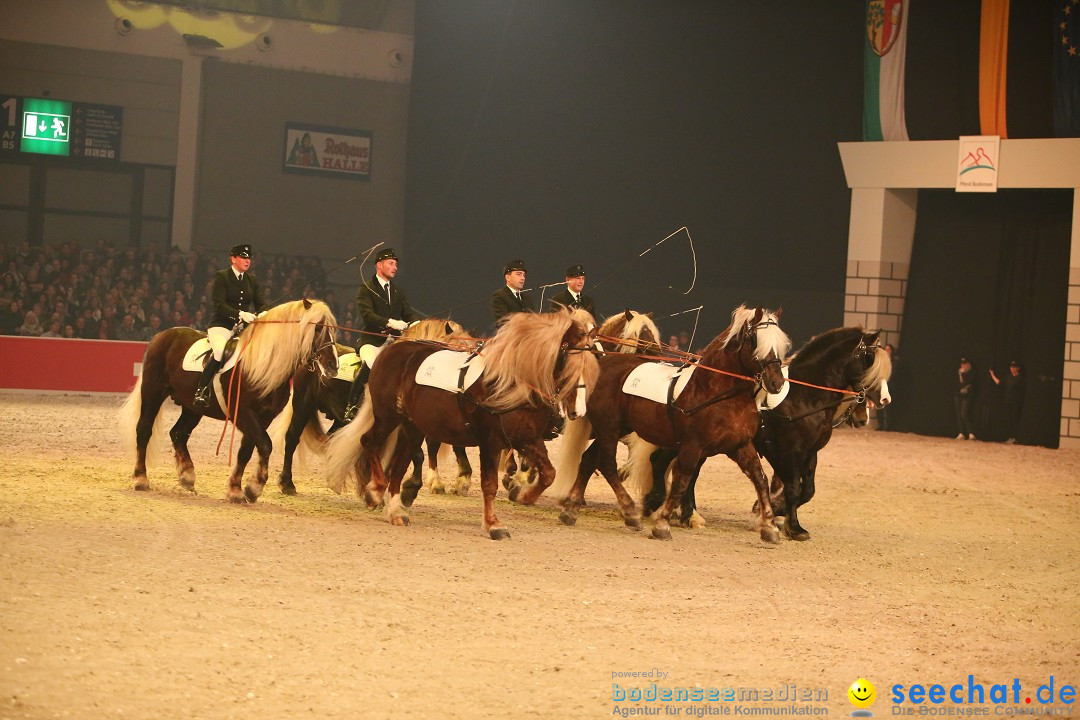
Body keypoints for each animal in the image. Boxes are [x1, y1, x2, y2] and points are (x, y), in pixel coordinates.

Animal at [118, 297, 339, 500]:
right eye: (318, 328)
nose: (333, 365)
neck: (262, 365)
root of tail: (162, 335)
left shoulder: (263, 417)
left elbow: (247, 450)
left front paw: (236, 489)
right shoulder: (243, 413)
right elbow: (265, 444)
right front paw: (254, 487)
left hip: (193, 407)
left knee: (178, 433)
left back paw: (187, 476)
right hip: (153, 393)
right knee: (144, 430)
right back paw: (141, 479)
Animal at [270, 317, 477, 498]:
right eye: (459, 352)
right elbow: (419, 453)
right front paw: (416, 485)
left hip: (338, 418)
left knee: (332, 439)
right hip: (303, 404)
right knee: (292, 438)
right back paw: (287, 483)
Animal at [324, 310, 604, 539]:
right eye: (568, 359)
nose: (578, 411)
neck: (512, 383)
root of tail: (393, 350)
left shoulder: (528, 438)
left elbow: (548, 474)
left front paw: (522, 494)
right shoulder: (491, 441)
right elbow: (489, 484)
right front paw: (493, 524)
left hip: (411, 427)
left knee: (401, 461)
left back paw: (395, 509)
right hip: (387, 416)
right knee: (369, 442)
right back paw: (375, 491)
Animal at [552, 306, 790, 544]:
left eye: (780, 344)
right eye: (755, 340)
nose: (776, 382)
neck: (716, 392)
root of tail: (603, 364)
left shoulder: (740, 446)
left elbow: (760, 479)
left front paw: (769, 526)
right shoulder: (693, 446)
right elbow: (681, 482)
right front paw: (662, 524)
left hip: (615, 429)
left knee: (588, 460)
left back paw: (571, 510)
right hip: (608, 428)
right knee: (607, 464)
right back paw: (630, 513)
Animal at [630, 325, 894, 539]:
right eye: (870, 358)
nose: (884, 400)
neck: (803, 397)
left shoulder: (810, 453)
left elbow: (807, 490)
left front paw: (778, 513)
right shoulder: (786, 452)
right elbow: (793, 488)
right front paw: (787, 523)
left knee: (676, 469)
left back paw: (680, 512)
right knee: (663, 463)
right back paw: (662, 507)